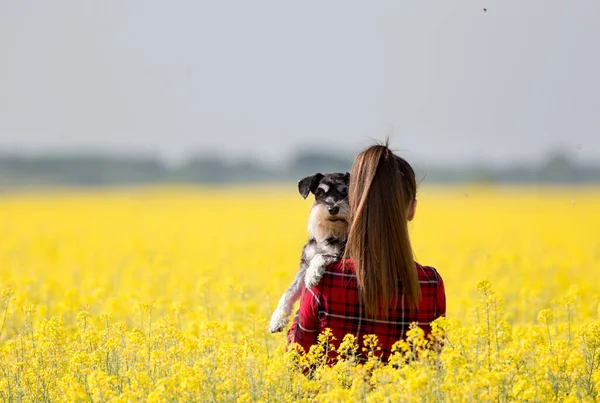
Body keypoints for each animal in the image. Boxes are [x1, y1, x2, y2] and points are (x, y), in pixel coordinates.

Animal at [268, 173, 352, 334]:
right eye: (320, 192)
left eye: (345, 191)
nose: (333, 208)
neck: (330, 233)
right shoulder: (304, 265)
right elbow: (289, 292)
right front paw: (277, 320)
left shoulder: (343, 254)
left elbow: (321, 256)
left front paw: (312, 275)